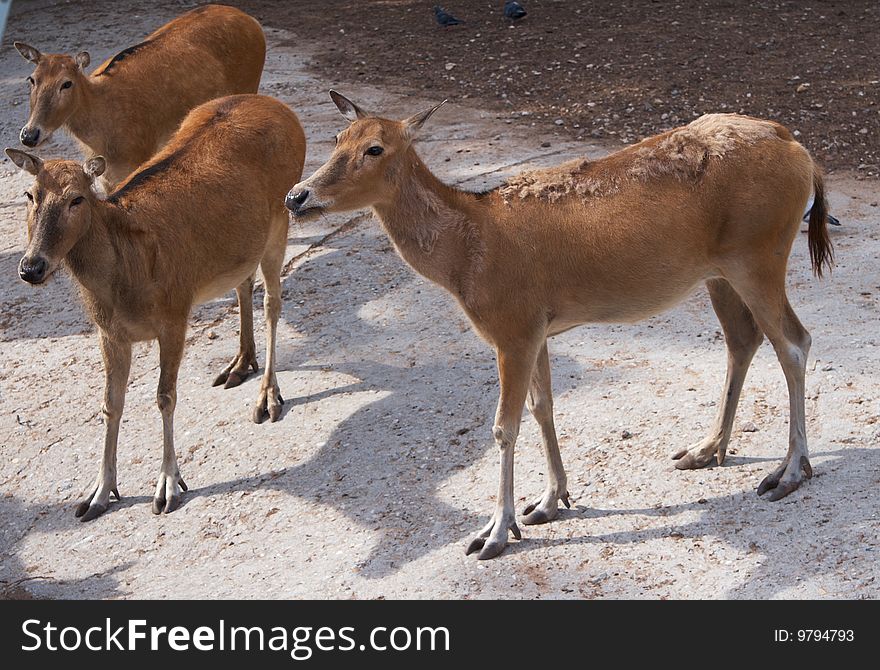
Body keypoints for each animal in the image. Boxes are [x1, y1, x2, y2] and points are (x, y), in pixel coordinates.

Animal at [6, 94, 306, 524]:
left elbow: (165, 396)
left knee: (273, 301)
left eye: (77, 199)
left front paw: (168, 486)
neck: (122, 283)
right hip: (241, 244)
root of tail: (284, 110)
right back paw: (238, 364)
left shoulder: (175, 313)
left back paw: (267, 397)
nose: (32, 267)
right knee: (243, 284)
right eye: (30, 196)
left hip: (281, 219)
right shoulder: (109, 332)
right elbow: (110, 404)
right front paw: (97, 493)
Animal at [12, 5, 264, 189]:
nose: (29, 135)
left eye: (66, 83)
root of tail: (251, 20)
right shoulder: (104, 177)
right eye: (32, 79)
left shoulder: (133, 163)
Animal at [286, 90, 836, 560]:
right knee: (743, 339)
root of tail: (800, 151)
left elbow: (503, 426)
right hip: (719, 271)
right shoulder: (538, 328)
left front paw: (494, 533)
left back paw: (789, 472)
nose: (297, 196)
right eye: (337, 138)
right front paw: (549, 503)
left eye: (374, 148)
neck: (467, 255)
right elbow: (542, 407)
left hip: (759, 253)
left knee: (794, 341)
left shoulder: (512, 325)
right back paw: (705, 450)